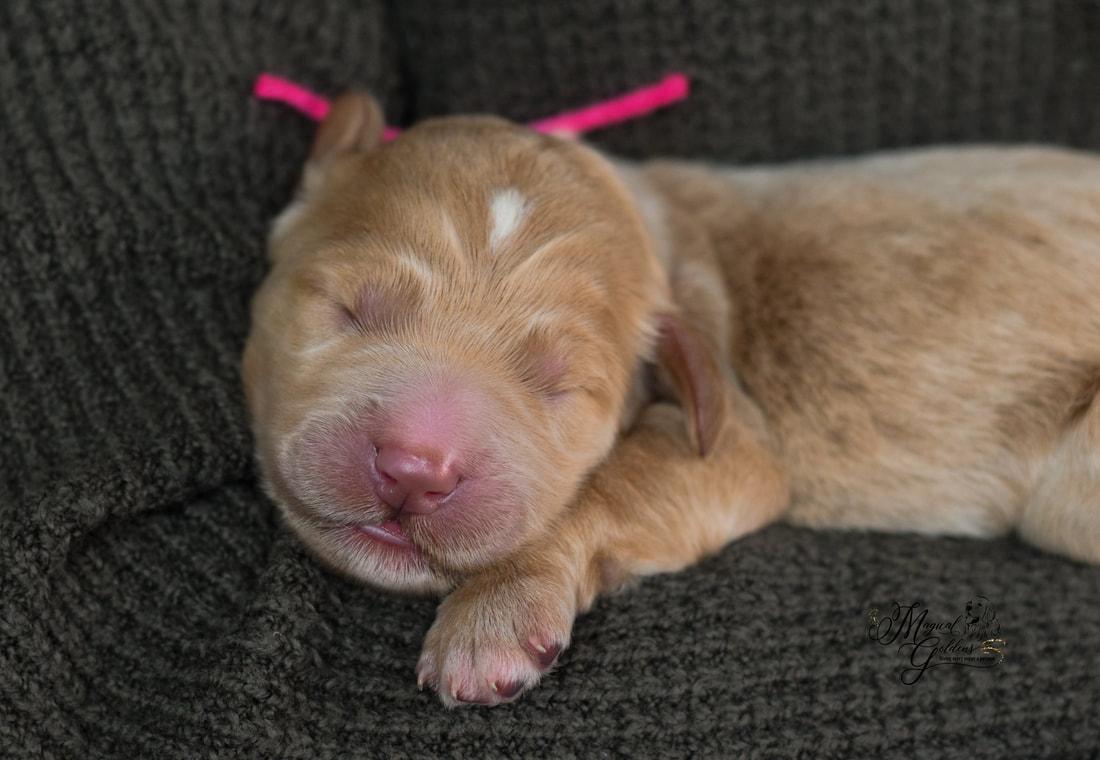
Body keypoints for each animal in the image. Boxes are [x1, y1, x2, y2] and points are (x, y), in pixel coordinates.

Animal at [243, 92, 1100, 707]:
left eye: (562, 386)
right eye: (348, 309)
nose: (415, 469)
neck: (657, 227)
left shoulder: (736, 440)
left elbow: (617, 480)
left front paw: (497, 608)